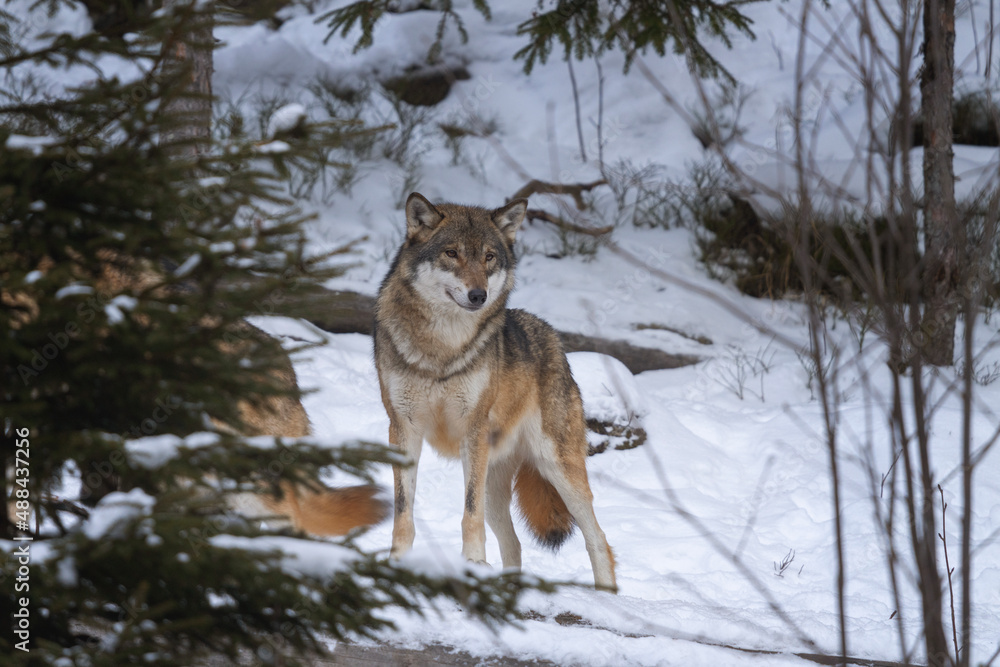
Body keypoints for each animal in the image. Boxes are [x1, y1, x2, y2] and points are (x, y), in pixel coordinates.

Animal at [373, 192, 617, 591]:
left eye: (488, 257)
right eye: (452, 253)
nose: (478, 295)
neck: (443, 349)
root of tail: (554, 338)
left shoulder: (472, 432)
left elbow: (468, 513)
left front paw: (472, 563)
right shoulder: (403, 429)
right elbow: (403, 510)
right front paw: (397, 563)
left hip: (555, 469)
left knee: (598, 539)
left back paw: (606, 598)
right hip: (495, 480)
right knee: (514, 544)